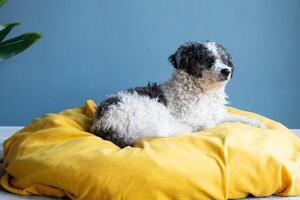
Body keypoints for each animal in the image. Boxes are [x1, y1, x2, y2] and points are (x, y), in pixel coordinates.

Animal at [91, 41, 264, 147]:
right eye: (209, 60)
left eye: (225, 60)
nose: (226, 71)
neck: (205, 94)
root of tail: (102, 124)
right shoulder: (192, 120)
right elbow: (210, 125)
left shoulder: (218, 115)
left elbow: (237, 117)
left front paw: (256, 123)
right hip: (152, 110)